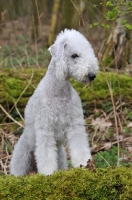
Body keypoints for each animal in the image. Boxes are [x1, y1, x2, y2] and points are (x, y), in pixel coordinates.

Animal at [10, 28, 99, 176]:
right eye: (74, 55)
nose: (92, 75)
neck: (58, 93)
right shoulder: (45, 128)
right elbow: (46, 155)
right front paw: (48, 173)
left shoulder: (75, 125)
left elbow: (79, 147)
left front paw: (84, 165)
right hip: (22, 157)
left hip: (61, 155)